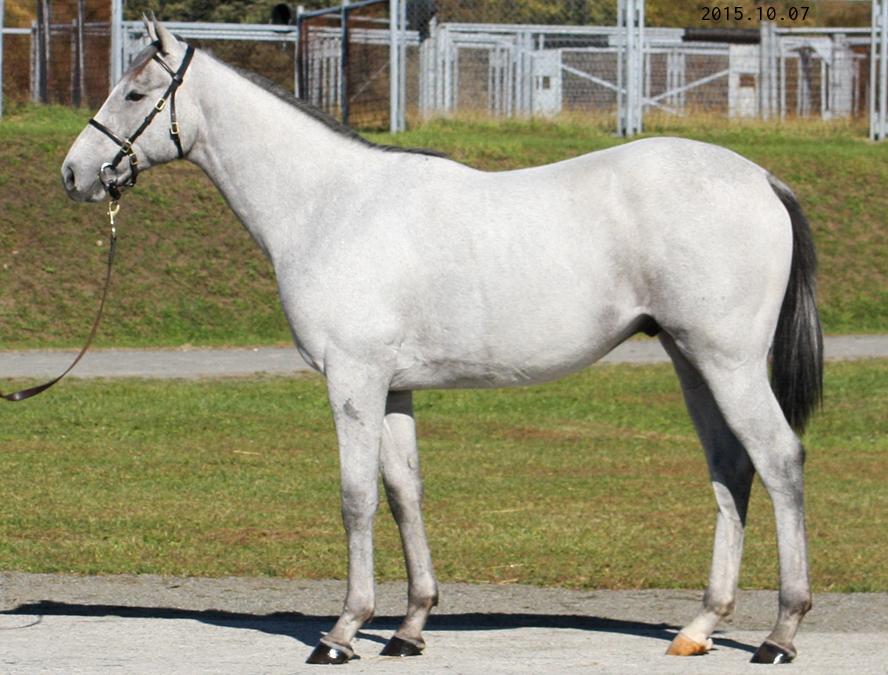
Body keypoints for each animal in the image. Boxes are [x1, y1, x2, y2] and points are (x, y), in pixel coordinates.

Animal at [61, 18, 822, 666]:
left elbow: (356, 497)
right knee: (731, 468)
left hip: (728, 362)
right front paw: (410, 625)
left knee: (779, 460)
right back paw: (701, 626)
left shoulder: (354, 380)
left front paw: (343, 630)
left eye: (135, 93)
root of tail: (762, 179)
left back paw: (780, 634)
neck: (330, 204)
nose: (74, 173)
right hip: (690, 360)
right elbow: (404, 492)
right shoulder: (393, 387)